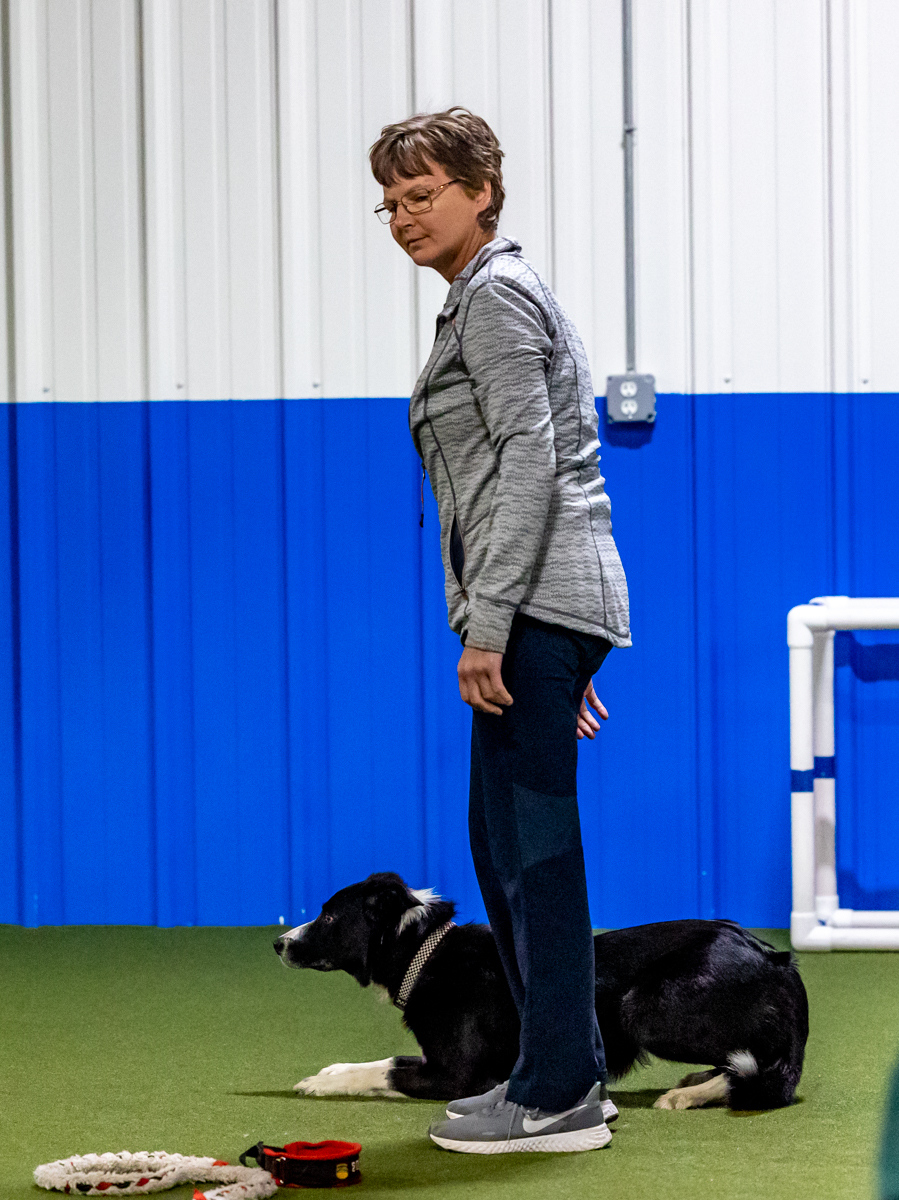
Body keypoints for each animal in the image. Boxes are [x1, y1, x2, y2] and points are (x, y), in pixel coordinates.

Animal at [274, 872, 808, 1111]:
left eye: (327, 917)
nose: (278, 942)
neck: (426, 953)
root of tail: (776, 959)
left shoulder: (459, 1077)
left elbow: (384, 1072)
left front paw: (324, 1085)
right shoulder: (437, 1060)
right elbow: (378, 1061)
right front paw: (327, 1073)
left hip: (642, 1007)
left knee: (761, 1070)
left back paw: (690, 1094)